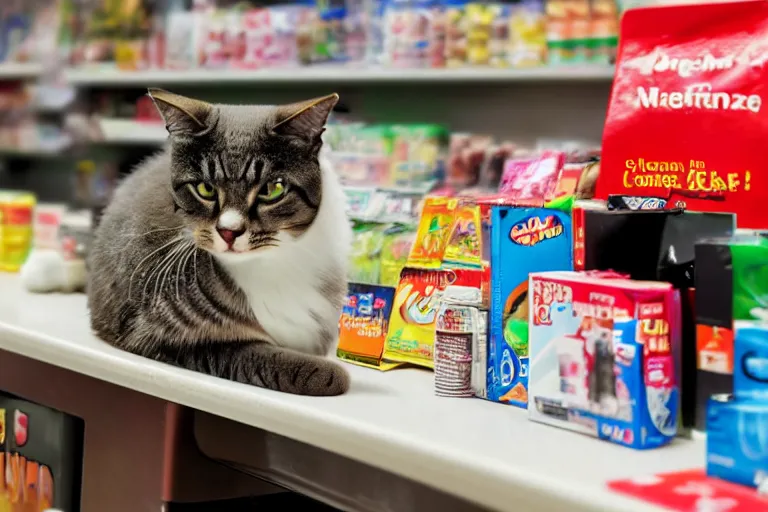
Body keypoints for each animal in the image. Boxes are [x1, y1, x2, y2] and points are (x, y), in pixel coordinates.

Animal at [88, 90, 352, 396]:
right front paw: (328, 373)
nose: (229, 231)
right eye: (205, 188)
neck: (269, 263)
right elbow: (247, 354)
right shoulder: (153, 334)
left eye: (272, 189)